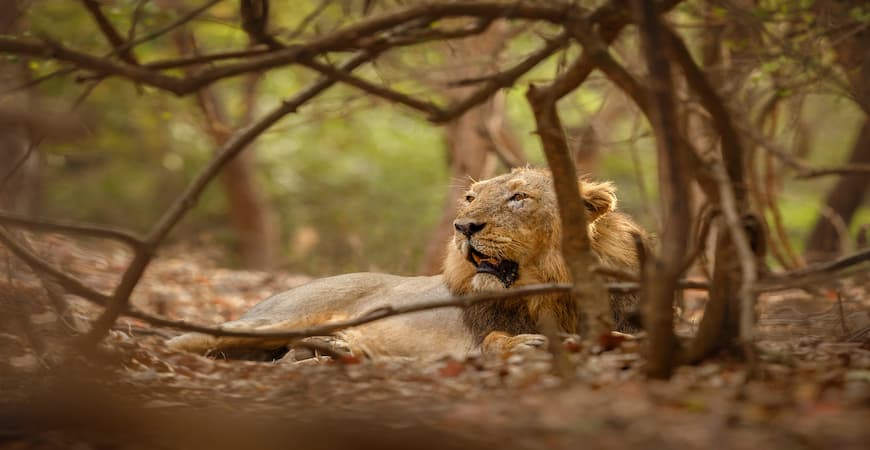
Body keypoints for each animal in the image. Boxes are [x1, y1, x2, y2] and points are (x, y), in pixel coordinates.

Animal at [169, 167, 648, 360]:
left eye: (518, 196)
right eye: (471, 198)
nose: (463, 226)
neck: (548, 291)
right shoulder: (471, 341)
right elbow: (494, 339)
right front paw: (524, 343)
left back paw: (335, 346)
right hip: (273, 321)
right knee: (181, 340)